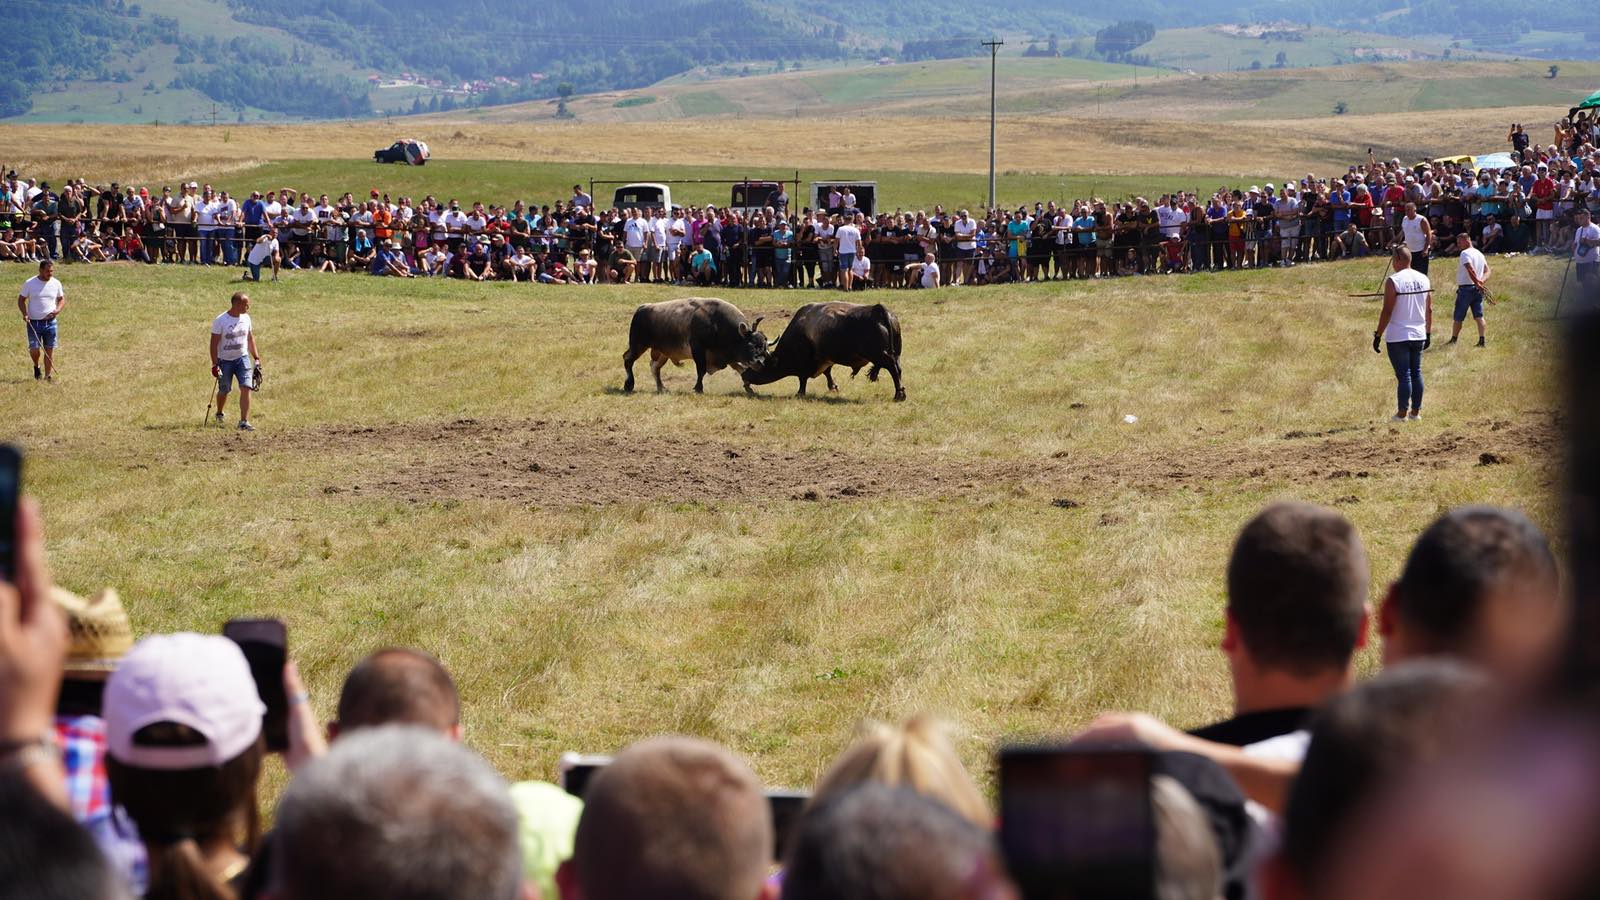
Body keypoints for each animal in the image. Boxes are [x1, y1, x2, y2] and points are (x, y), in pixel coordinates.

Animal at [624, 296, 768, 390]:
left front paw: (748, 387)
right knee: (628, 360)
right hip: (638, 345)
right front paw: (698, 388)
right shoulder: (699, 350)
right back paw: (629, 384)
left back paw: (661, 387)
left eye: (764, 347)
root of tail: (642, 308)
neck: (716, 322)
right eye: (750, 345)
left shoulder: (726, 356)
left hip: (662, 353)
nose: (760, 363)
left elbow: (741, 369)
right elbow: (701, 370)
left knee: (654, 367)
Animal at [736, 301, 902, 398]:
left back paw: (899, 394)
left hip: (880, 355)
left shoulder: (804, 365)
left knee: (893, 369)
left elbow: (802, 379)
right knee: (898, 369)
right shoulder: (825, 359)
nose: (744, 375)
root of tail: (878, 310)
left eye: (760, 364)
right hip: (896, 354)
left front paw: (800, 393)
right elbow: (827, 373)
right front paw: (833, 387)